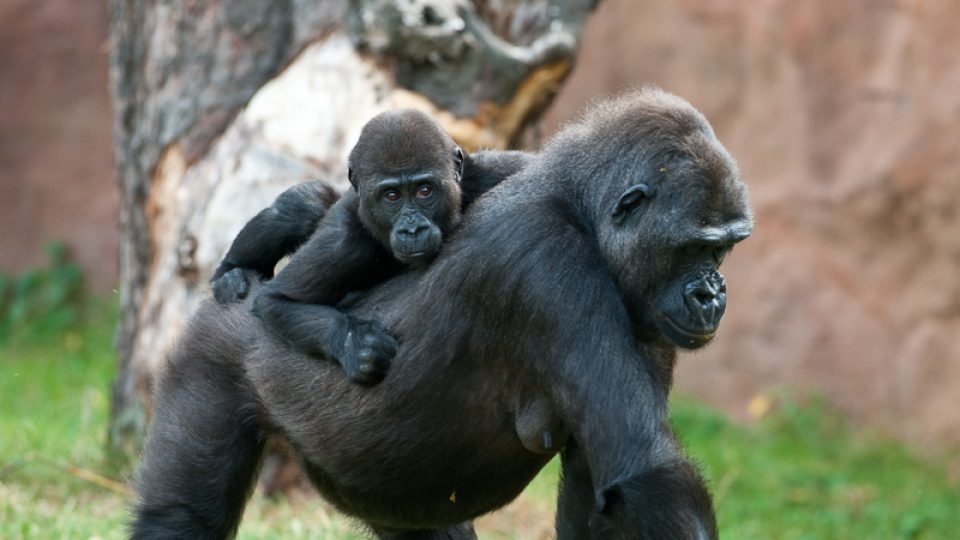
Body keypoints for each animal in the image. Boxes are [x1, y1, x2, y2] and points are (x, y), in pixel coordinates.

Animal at [131, 86, 752, 536]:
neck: (581, 212)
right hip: (212, 351)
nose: (712, 293)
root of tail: (241, 293)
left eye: (723, 249)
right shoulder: (551, 265)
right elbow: (643, 469)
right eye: (694, 248)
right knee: (181, 518)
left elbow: (603, 486)